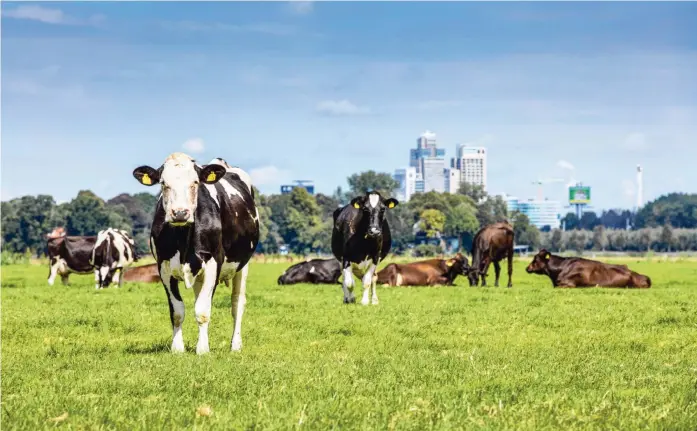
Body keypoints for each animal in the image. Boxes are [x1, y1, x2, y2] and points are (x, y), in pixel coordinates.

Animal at [132, 153, 260, 354]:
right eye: (163, 183)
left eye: (195, 182)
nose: (179, 213)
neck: (183, 237)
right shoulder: (163, 267)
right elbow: (177, 311)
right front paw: (177, 348)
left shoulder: (214, 264)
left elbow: (203, 310)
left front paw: (203, 349)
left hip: (243, 265)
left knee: (237, 303)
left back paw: (236, 344)